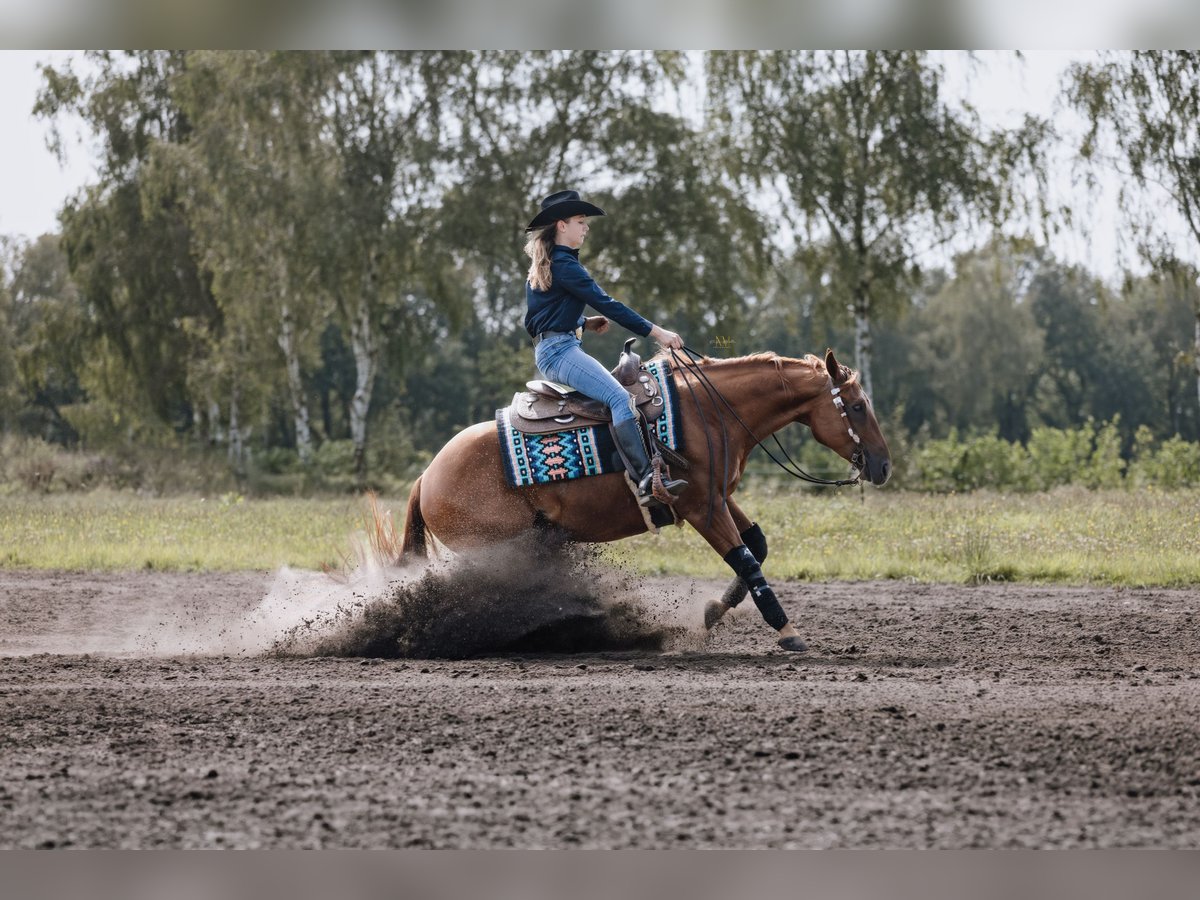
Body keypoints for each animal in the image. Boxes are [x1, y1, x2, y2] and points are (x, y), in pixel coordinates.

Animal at [400, 348, 892, 652]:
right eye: (857, 406)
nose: (884, 466)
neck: (710, 411)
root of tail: (426, 477)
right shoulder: (701, 509)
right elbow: (747, 559)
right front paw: (788, 631)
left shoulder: (717, 498)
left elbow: (757, 544)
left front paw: (712, 612)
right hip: (497, 549)